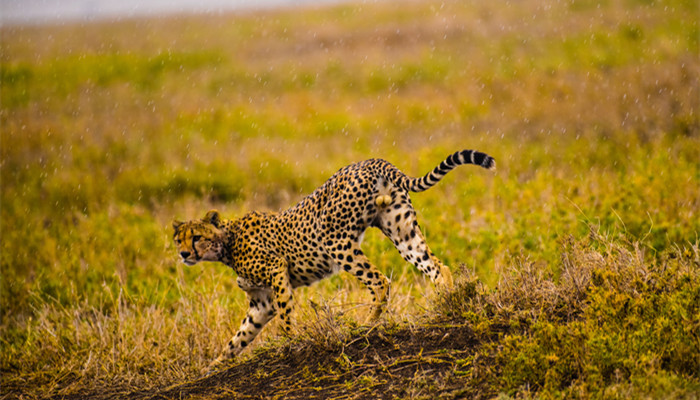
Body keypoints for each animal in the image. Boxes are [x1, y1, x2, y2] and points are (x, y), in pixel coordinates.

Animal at [172, 149, 494, 368]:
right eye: (179, 239)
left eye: (196, 237)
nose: (184, 254)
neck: (227, 243)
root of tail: (373, 161)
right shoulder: (260, 302)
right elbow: (238, 337)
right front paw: (212, 367)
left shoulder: (276, 270)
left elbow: (285, 314)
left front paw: (291, 342)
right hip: (401, 230)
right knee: (437, 267)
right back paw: (448, 302)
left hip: (335, 242)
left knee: (380, 281)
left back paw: (364, 326)